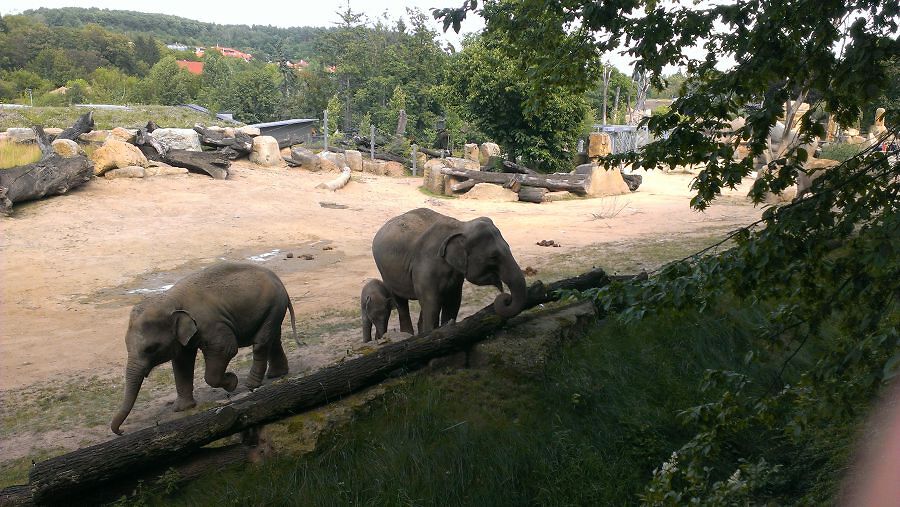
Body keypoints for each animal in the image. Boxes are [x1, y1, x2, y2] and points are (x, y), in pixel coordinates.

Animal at [110, 262, 298, 436]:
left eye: (151, 348)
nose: (121, 432)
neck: (170, 299)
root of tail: (279, 281)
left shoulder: (211, 324)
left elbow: (226, 349)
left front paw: (232, 382)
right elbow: (181, 362)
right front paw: (182, 408)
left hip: (274, 305)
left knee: (261, 343)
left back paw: (251, 384)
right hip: (273, 308)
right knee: (273, 339)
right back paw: (276, 374)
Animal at [372, 208, 528, 336]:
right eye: (493, 257)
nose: (506, 298)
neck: (461, 225)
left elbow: (453, 302)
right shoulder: (426, 264)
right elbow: (432, 303)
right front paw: (430, 335)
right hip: (385, 272)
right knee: (401, 302)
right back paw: (408, 335)